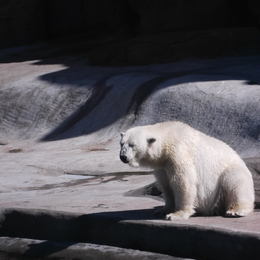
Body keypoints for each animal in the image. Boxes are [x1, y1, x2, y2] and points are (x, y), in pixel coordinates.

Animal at [120, 121, 254, 219]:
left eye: (132, 145)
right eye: (121, 143)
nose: (123, 156)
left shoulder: (178, 153)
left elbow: (183, 182)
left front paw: (176, 215)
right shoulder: (162, 165)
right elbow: (166, 185)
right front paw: (162, 210)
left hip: (232, 172)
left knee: (234, 181)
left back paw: (235, 211)